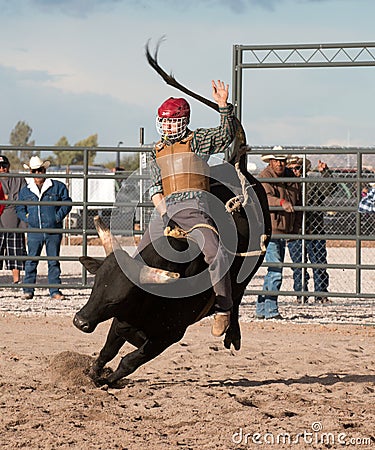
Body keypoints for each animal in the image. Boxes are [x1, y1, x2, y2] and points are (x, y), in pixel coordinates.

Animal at [73, 163, 270, 386]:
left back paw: (231, 331)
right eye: (95, 285)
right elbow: (108, 350)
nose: (80, 321)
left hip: (249, 270)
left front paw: (109, 381)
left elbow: (129, 361)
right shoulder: (122, 320)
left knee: (236, 298)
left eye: (117, 299)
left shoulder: (170, 335)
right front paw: (93, 373)